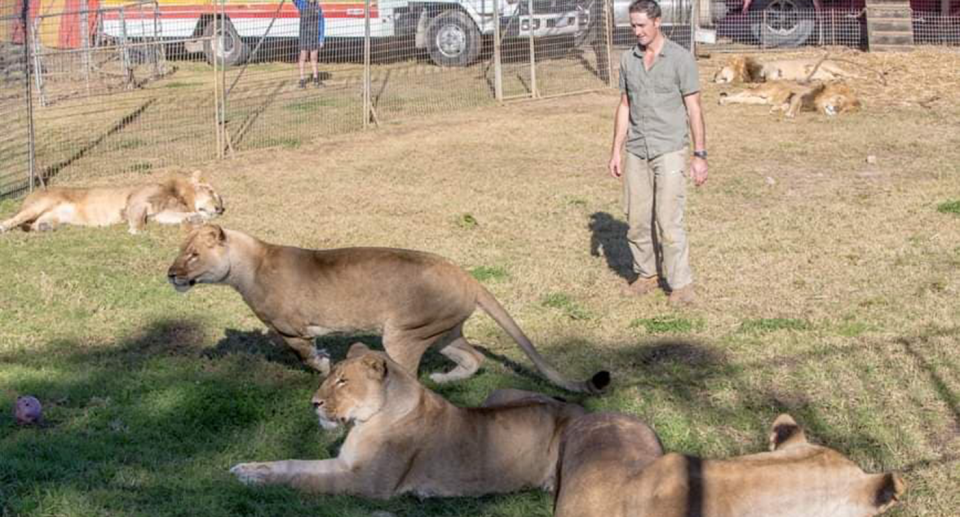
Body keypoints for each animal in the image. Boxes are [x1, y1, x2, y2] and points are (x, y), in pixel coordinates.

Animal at [0, 169, 223, 234]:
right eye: (211, 191)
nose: (221, 208)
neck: (178, 196)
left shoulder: (161, 213)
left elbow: (180, 216)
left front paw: (195, 219)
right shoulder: (136, 201)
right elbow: (139, 221)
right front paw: (135, 230)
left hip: (52, 218)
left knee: (34, 224)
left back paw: (43, 227)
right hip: (40, 205)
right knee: (11, 220)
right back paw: (3, 228)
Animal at [230, 344, 588, 498]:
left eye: (343, 381)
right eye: (330, 376)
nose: (314, 403)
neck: (367, 422)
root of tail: (577, 407)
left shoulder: (367, 484)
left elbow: (302, 479)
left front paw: (253, 482)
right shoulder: (346, 464)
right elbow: (293, 463)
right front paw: (247, 469)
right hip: (498, 392)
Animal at [716, 81, 860, 118]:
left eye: (844, 108)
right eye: (838, 99)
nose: (836, 108)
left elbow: (784, 105)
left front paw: (778, 109)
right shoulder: (798, 94)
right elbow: (796, 103)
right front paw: (790, 113)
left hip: (760, 100)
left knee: (744, 98)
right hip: (762, 91)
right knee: (745, 92)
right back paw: (723, 100)